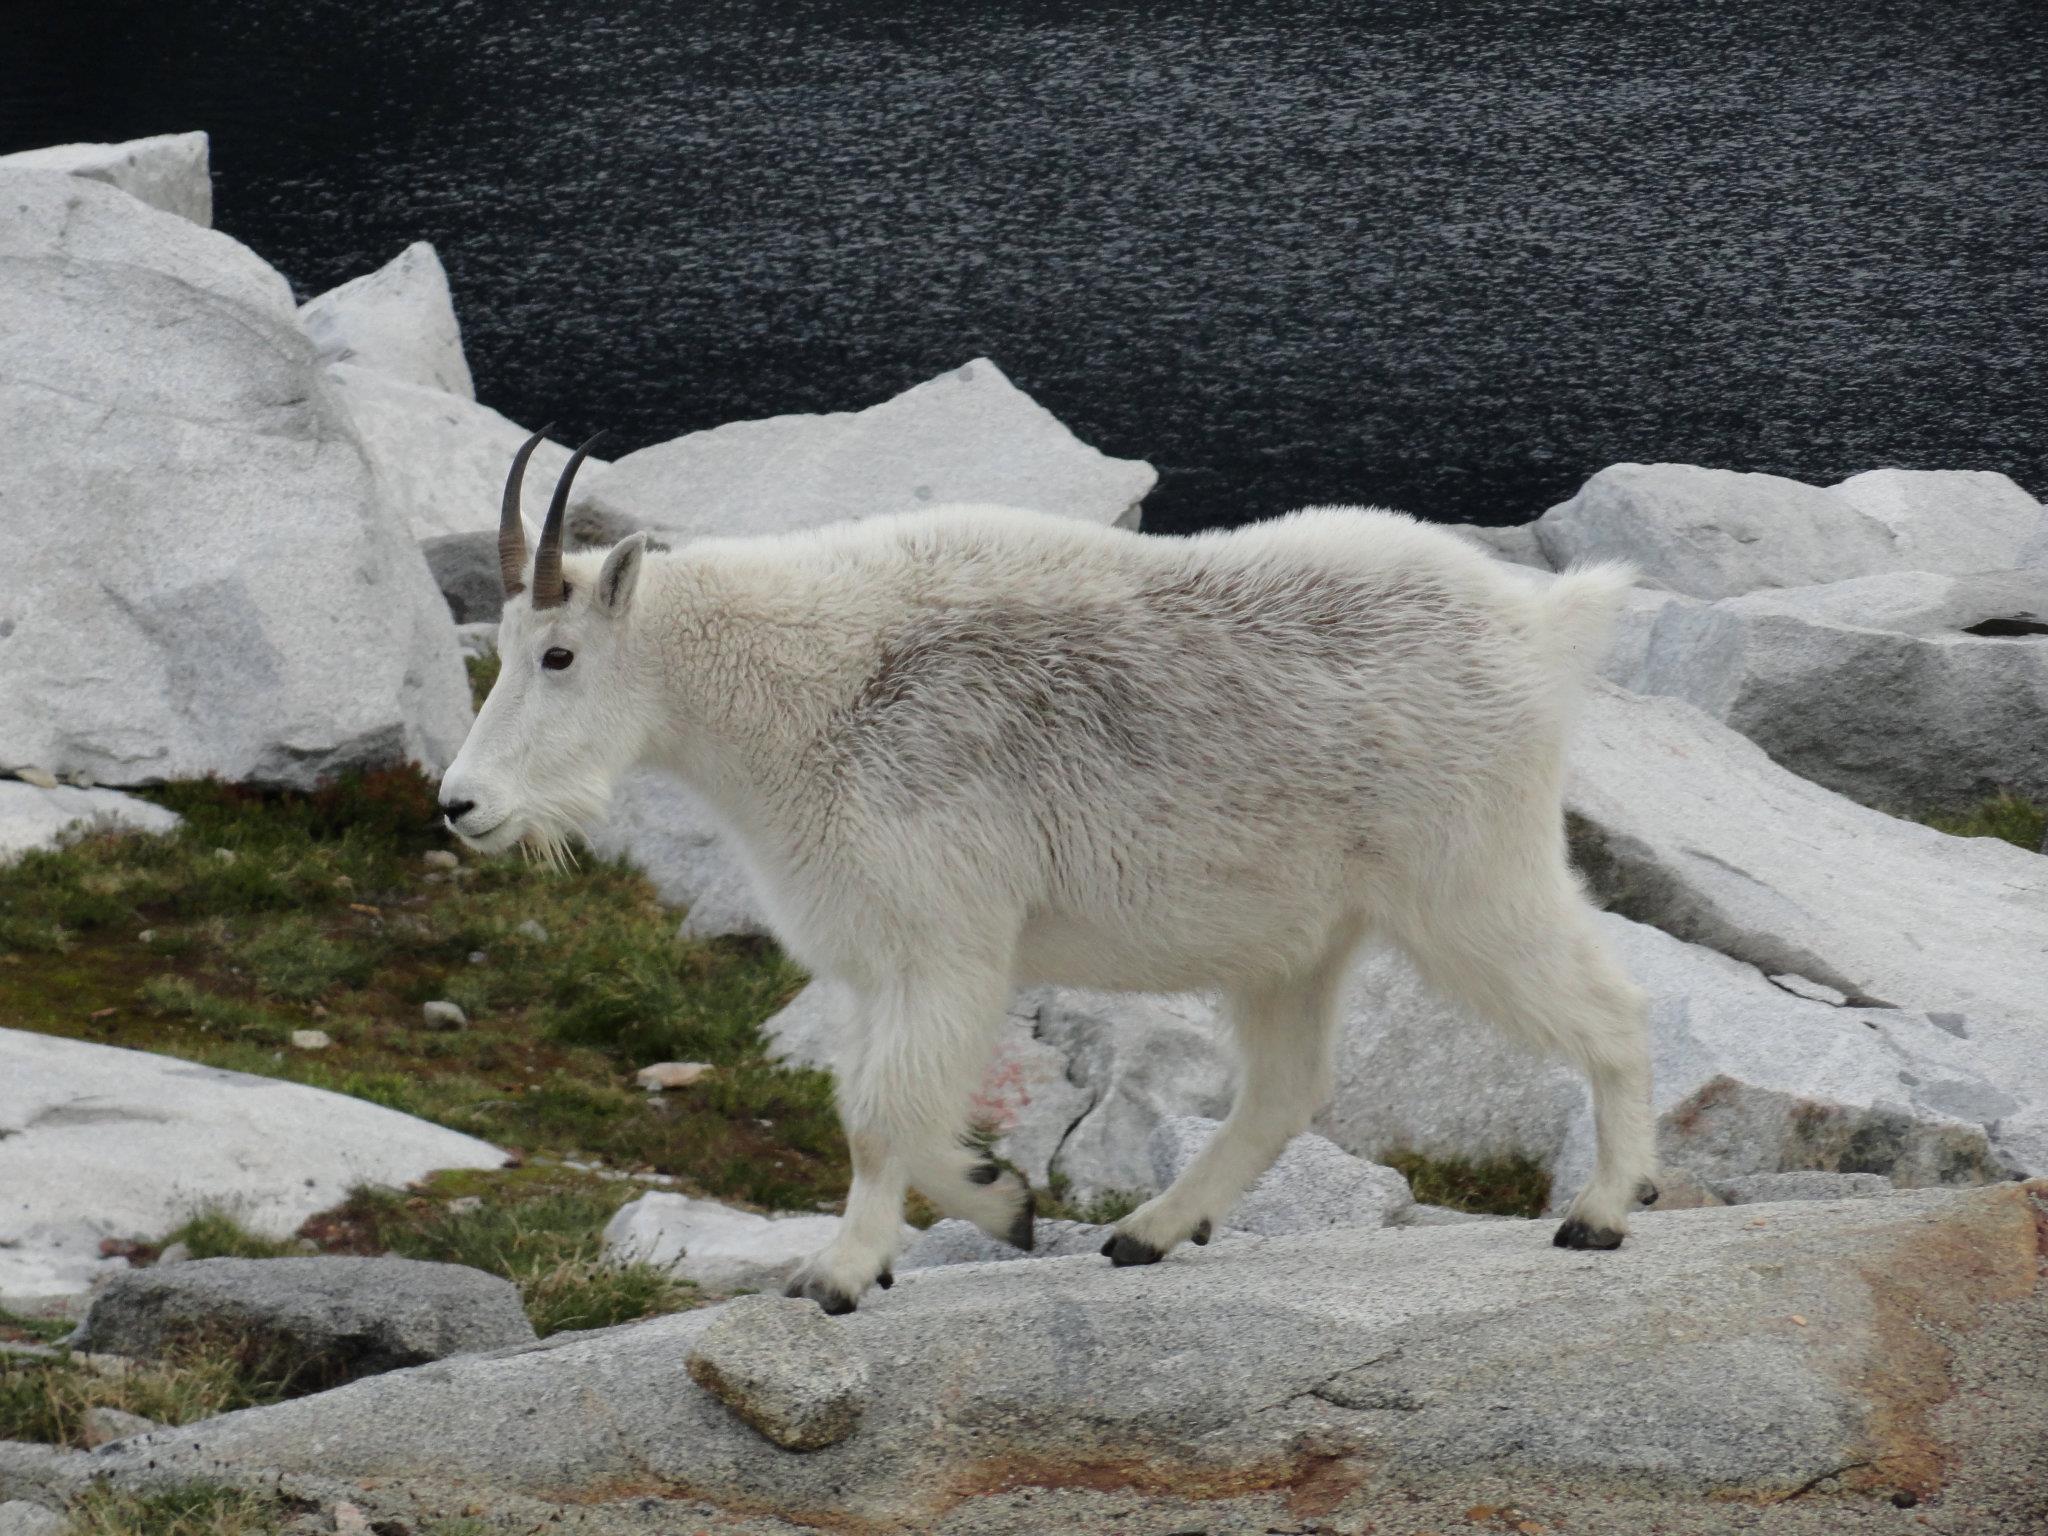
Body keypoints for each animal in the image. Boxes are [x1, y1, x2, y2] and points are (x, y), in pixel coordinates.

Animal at [439, 432, 1658, 1313]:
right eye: (498, 649)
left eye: (558, 654)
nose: (461, 804)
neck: (802, 693)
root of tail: (1540, 623)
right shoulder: (878, 954)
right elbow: (868, 1102)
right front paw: (999, 1200)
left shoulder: (943, 936)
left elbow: (877, 1112)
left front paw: (838, 1275)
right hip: (1299, 938)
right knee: (1284, 1087)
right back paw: (1147, 1233)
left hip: (1468, 874)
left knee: (1607, 1008)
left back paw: (1603, 1210)